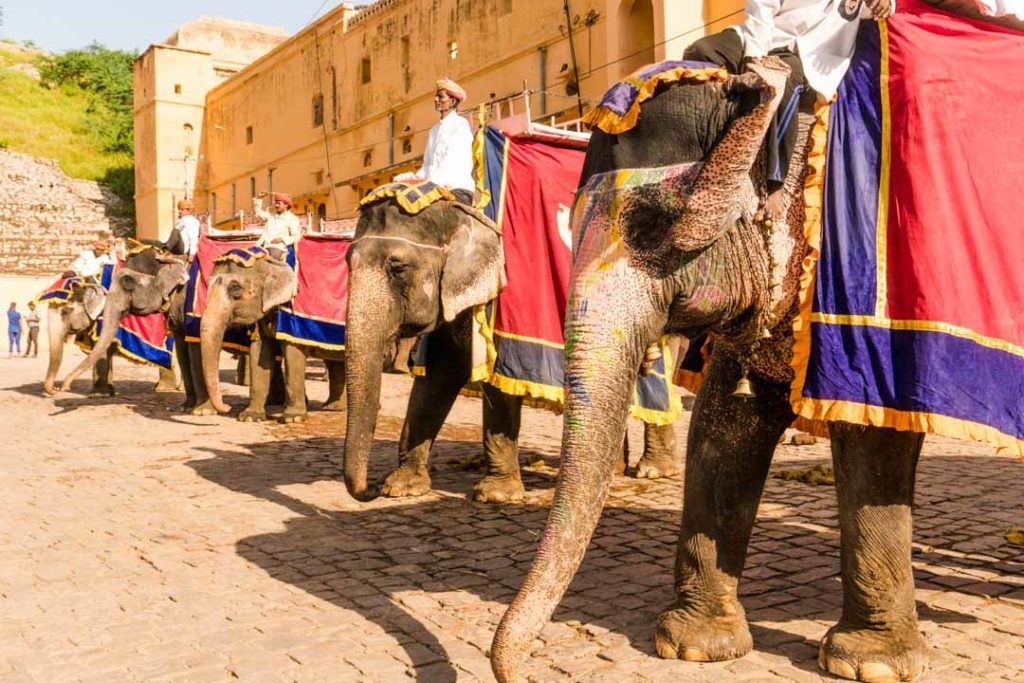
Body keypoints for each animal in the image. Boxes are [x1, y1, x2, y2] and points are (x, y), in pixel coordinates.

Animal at [200, 255, 346, 423]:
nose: (227, 407)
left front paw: (293, 418)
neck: (272, 262)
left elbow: (292, 354)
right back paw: (333, 407)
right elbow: (260, 352)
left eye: (235, 290)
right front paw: (250, 417)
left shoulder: (292, 316)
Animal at [341, 197, 680, 505]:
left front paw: (497, 495)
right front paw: (401, 487)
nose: (371, 487)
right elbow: (436, 379)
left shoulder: (506, 302)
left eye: (398, 268)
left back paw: (654, 470)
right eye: (346, 262)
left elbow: (498, 380)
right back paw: (613, 469)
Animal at [492, 57, 932, 683]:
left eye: (652, 223)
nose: (514, 669)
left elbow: (871, 428)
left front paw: (870, 664)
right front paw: (693, 646)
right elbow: (725, 426)